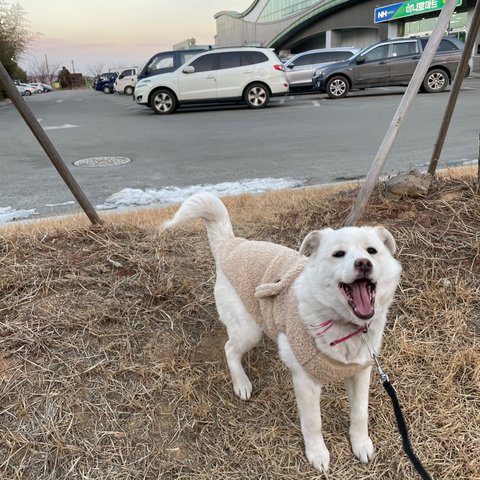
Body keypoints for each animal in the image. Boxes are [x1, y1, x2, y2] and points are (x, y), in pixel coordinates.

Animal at [163, 192, 401, 472]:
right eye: (338, 254)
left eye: (372, 251)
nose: (364, 263)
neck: (345, 325)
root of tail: (231, 245)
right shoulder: (307, 383)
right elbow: (313, 422)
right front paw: (317, 453)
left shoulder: (361, 372)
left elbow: (360, 413)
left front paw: (361, 444)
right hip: (249, 330)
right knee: (229, 349)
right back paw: (241, 383)